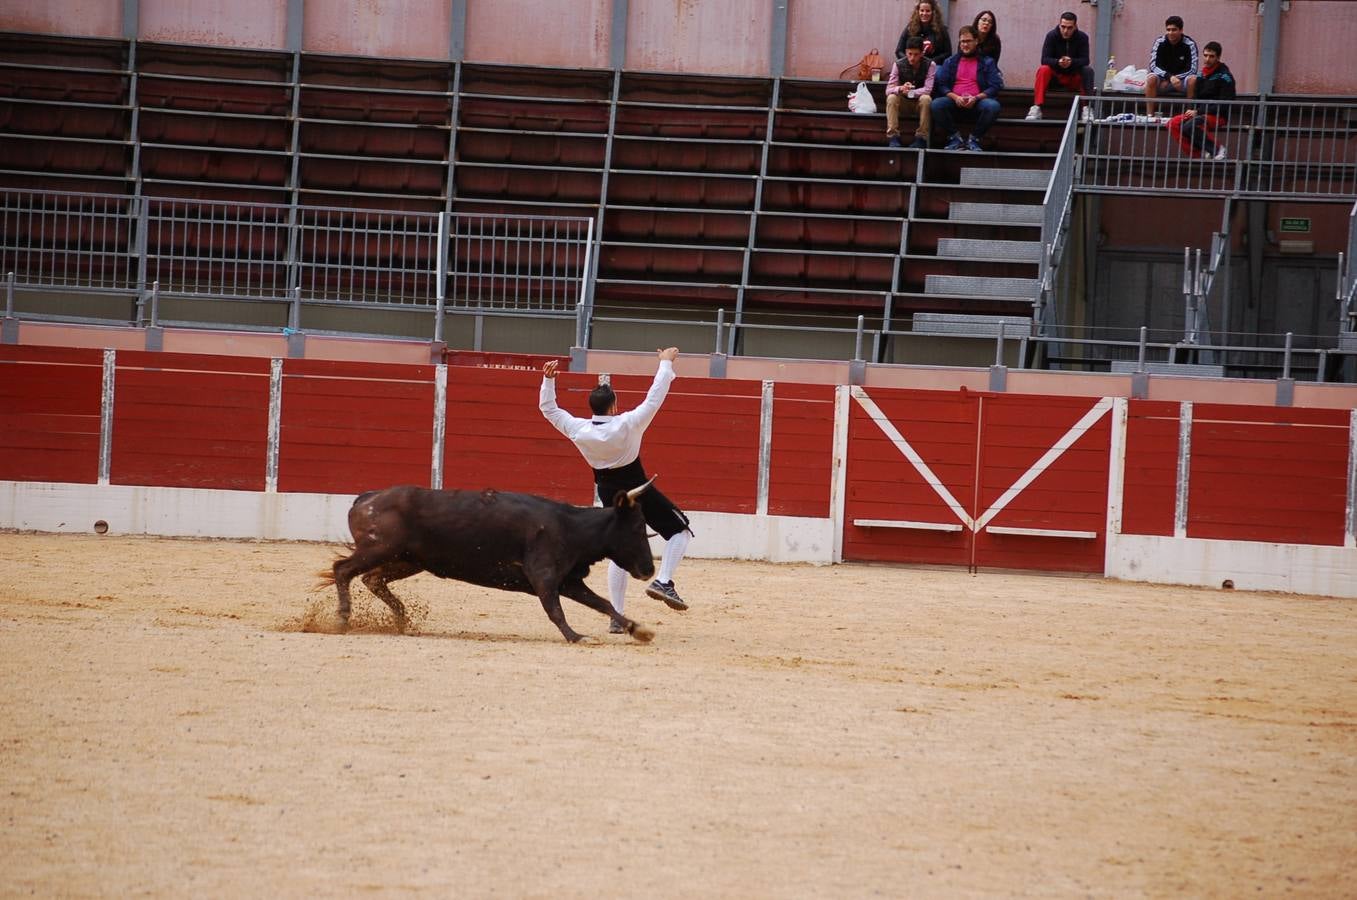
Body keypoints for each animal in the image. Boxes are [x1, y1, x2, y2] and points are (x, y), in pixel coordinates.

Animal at [317, 483, 656, 643]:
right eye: (638, 528)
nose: (649, 570)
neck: (572, 527)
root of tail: (366, 498)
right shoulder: (545, 577)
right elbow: (556, 611)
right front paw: (576, 636)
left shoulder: (568, 580)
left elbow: (603, 603)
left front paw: (638, 629)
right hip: (380, 550)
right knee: (343, 570)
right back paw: (343, 619)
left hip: (407, 560)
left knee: (370, 579)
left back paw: (401, 618)